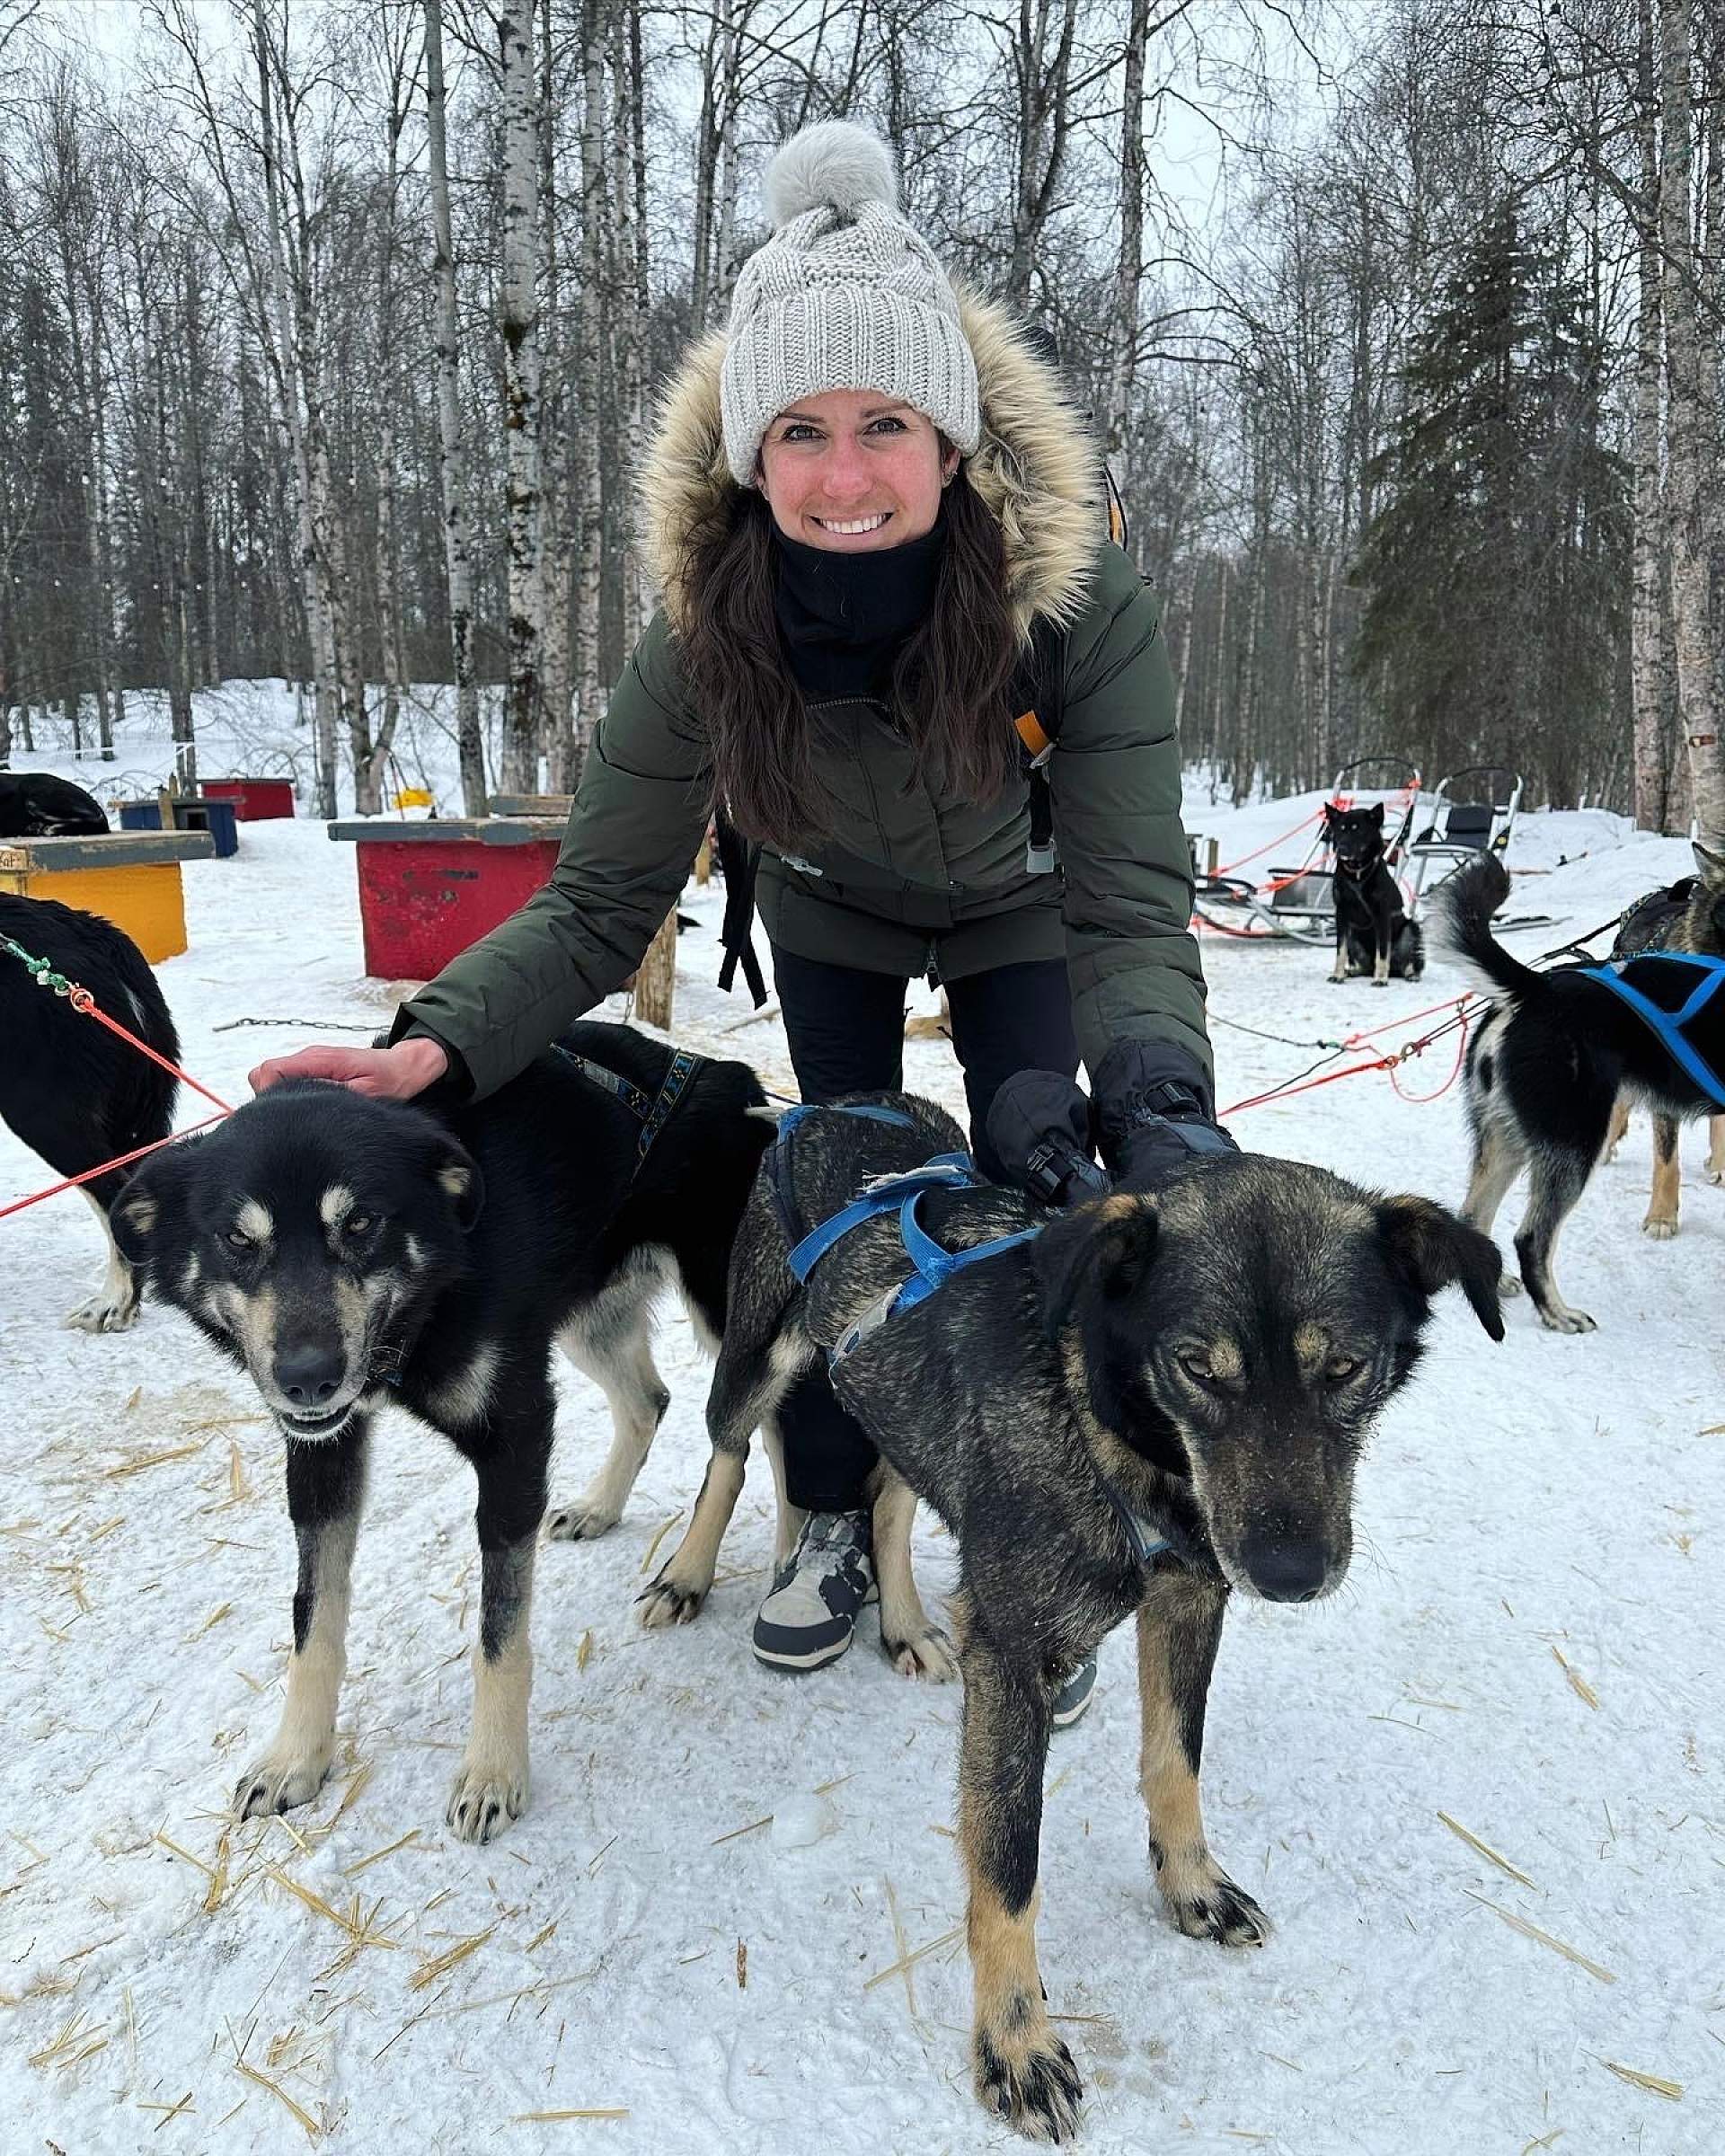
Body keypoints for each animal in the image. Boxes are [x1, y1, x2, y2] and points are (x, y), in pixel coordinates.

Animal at [111, 1017, 772, 1845]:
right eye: (238, 1240)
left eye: (361, 1222)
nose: (307, 1377)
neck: (427, 1298)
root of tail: (728, 1077)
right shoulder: (324, 1456)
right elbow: (312, 1621)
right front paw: (297, 1755)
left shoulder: (516, 1438)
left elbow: (500, 1637)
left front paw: (493, 1772)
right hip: (589, 1317)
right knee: (648, 1401)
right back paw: (601, 1506)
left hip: (736, 1320)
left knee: (749, 1441)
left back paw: (693, 1573)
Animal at [638, 1095, 1500, 2138]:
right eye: (1198, 1368)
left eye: (1345, 1366)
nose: (1290, 1576)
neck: (1109, 1425)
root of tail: (840, 1105)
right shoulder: (1014, 1662)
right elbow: (1008, 1869)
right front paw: (1016, 2044)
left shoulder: (1189, 1598)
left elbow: (1175, 1762)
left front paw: (1191, 1885)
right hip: (757, 1357)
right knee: (725, 1453)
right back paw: (685, 1576)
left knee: (889, 1491)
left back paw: (906, 1623)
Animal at [1328, 801, 1423, 987]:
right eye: (1340, 829)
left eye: (1357, 829)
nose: (1341, 848)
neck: (1358, 874)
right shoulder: (1341, 915)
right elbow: (1340, 951)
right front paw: (1338, 975)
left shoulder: (1382, 916)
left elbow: (1383, 952)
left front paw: (1380, 978)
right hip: (1353, 934)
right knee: (1363, 966)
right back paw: (1352, 971)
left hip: (1410, 930)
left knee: (1408, 963)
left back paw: (1410, 974)